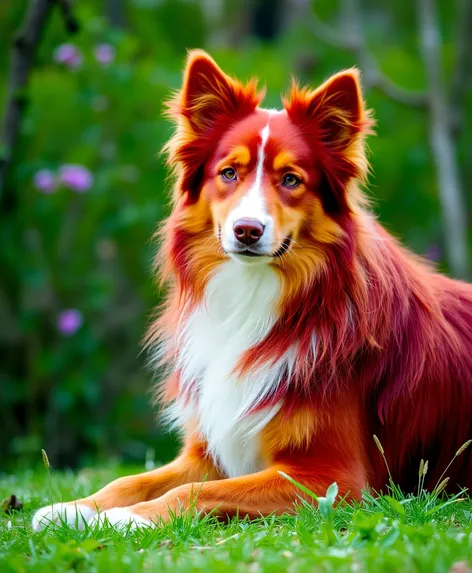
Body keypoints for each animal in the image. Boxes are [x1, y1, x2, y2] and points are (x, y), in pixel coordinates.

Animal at [33, 50, 472, 532]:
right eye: (228, 173)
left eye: (291, 180)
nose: (247, 230)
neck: (256, 292)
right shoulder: (211, 449)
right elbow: (132, 479)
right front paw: (74, 508)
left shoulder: (335, 479)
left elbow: (194, 490)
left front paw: (126, 519)